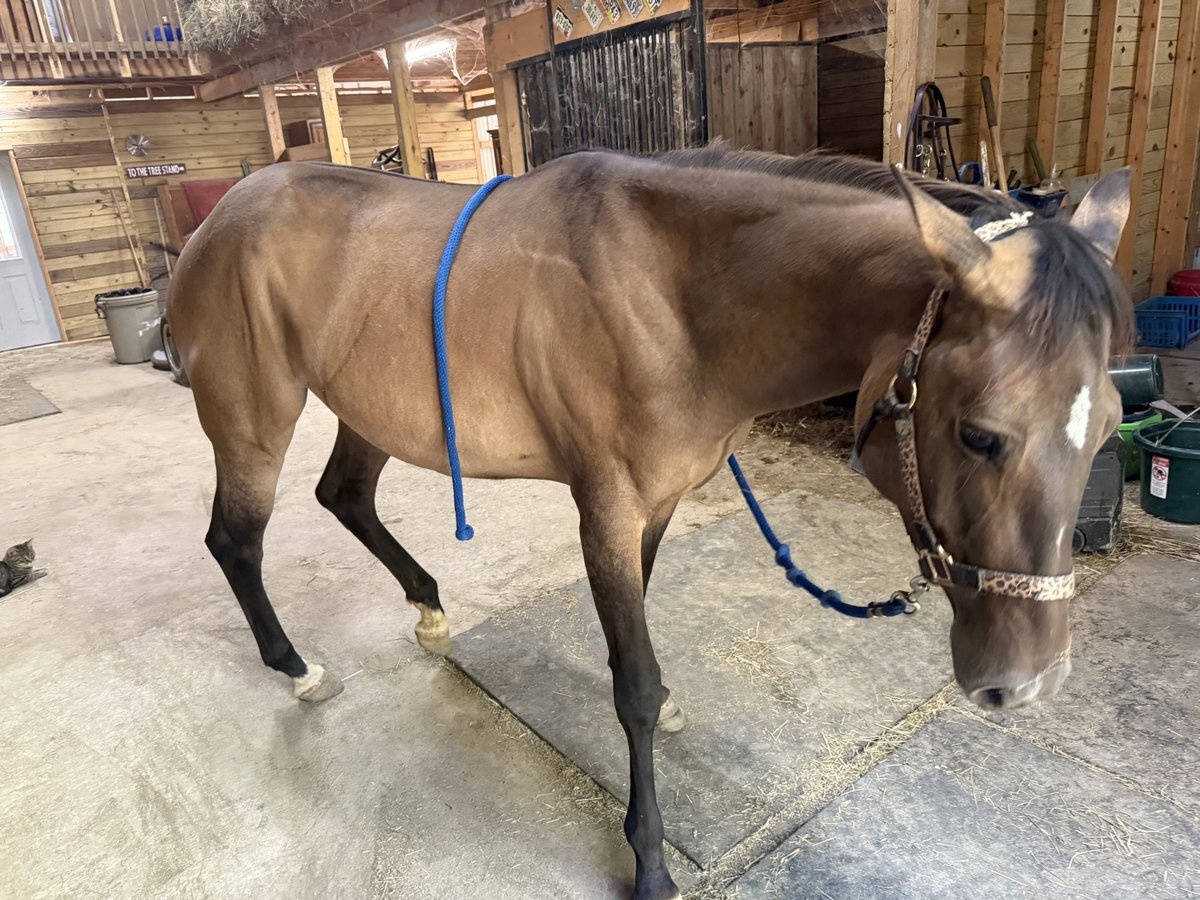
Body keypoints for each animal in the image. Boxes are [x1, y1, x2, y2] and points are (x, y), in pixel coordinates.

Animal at [167, 146, 1132, 900]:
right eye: (980, 433)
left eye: (1111, 425)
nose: (1026, 683)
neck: (676, 292)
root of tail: (217, 222)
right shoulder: (606, 505)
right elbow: (631, 679)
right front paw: (652, 859)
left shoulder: (658, 503)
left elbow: (643, 640)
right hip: (254, 417)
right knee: (234, 540)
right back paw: (297, 669)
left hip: (364, 408)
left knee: (345, 498)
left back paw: (429, 608)